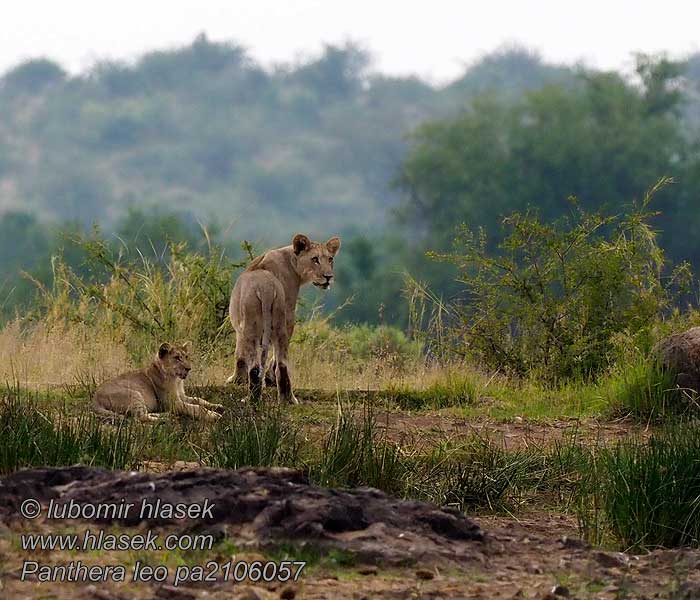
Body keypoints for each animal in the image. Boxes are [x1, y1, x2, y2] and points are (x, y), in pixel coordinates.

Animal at [228, 234, 340, 404]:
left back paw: (256, 399)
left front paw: (237, 380)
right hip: (275, 320)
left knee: (260, 365)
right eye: (315, 259)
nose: (328, 277)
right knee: (278, 363)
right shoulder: (289, 314)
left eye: (330, 259)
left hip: (253, 325)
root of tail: (265, 288)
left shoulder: (242, 329)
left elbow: (239, 354)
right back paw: (287, 399)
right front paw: (266, 380)